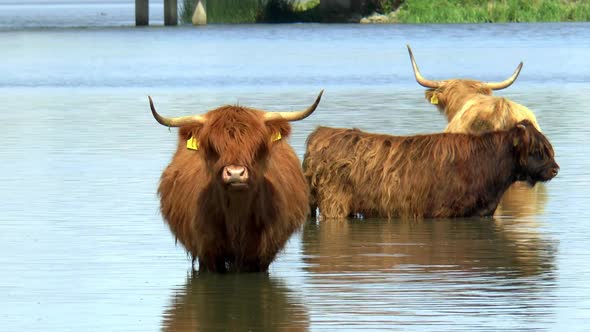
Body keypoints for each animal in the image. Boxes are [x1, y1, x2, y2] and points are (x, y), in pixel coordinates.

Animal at [150, 91, 322, 272]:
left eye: (258, 145)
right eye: (212, 146)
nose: (235, 173)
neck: (236, 213)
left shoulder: (261, 256)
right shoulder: (208, 253)